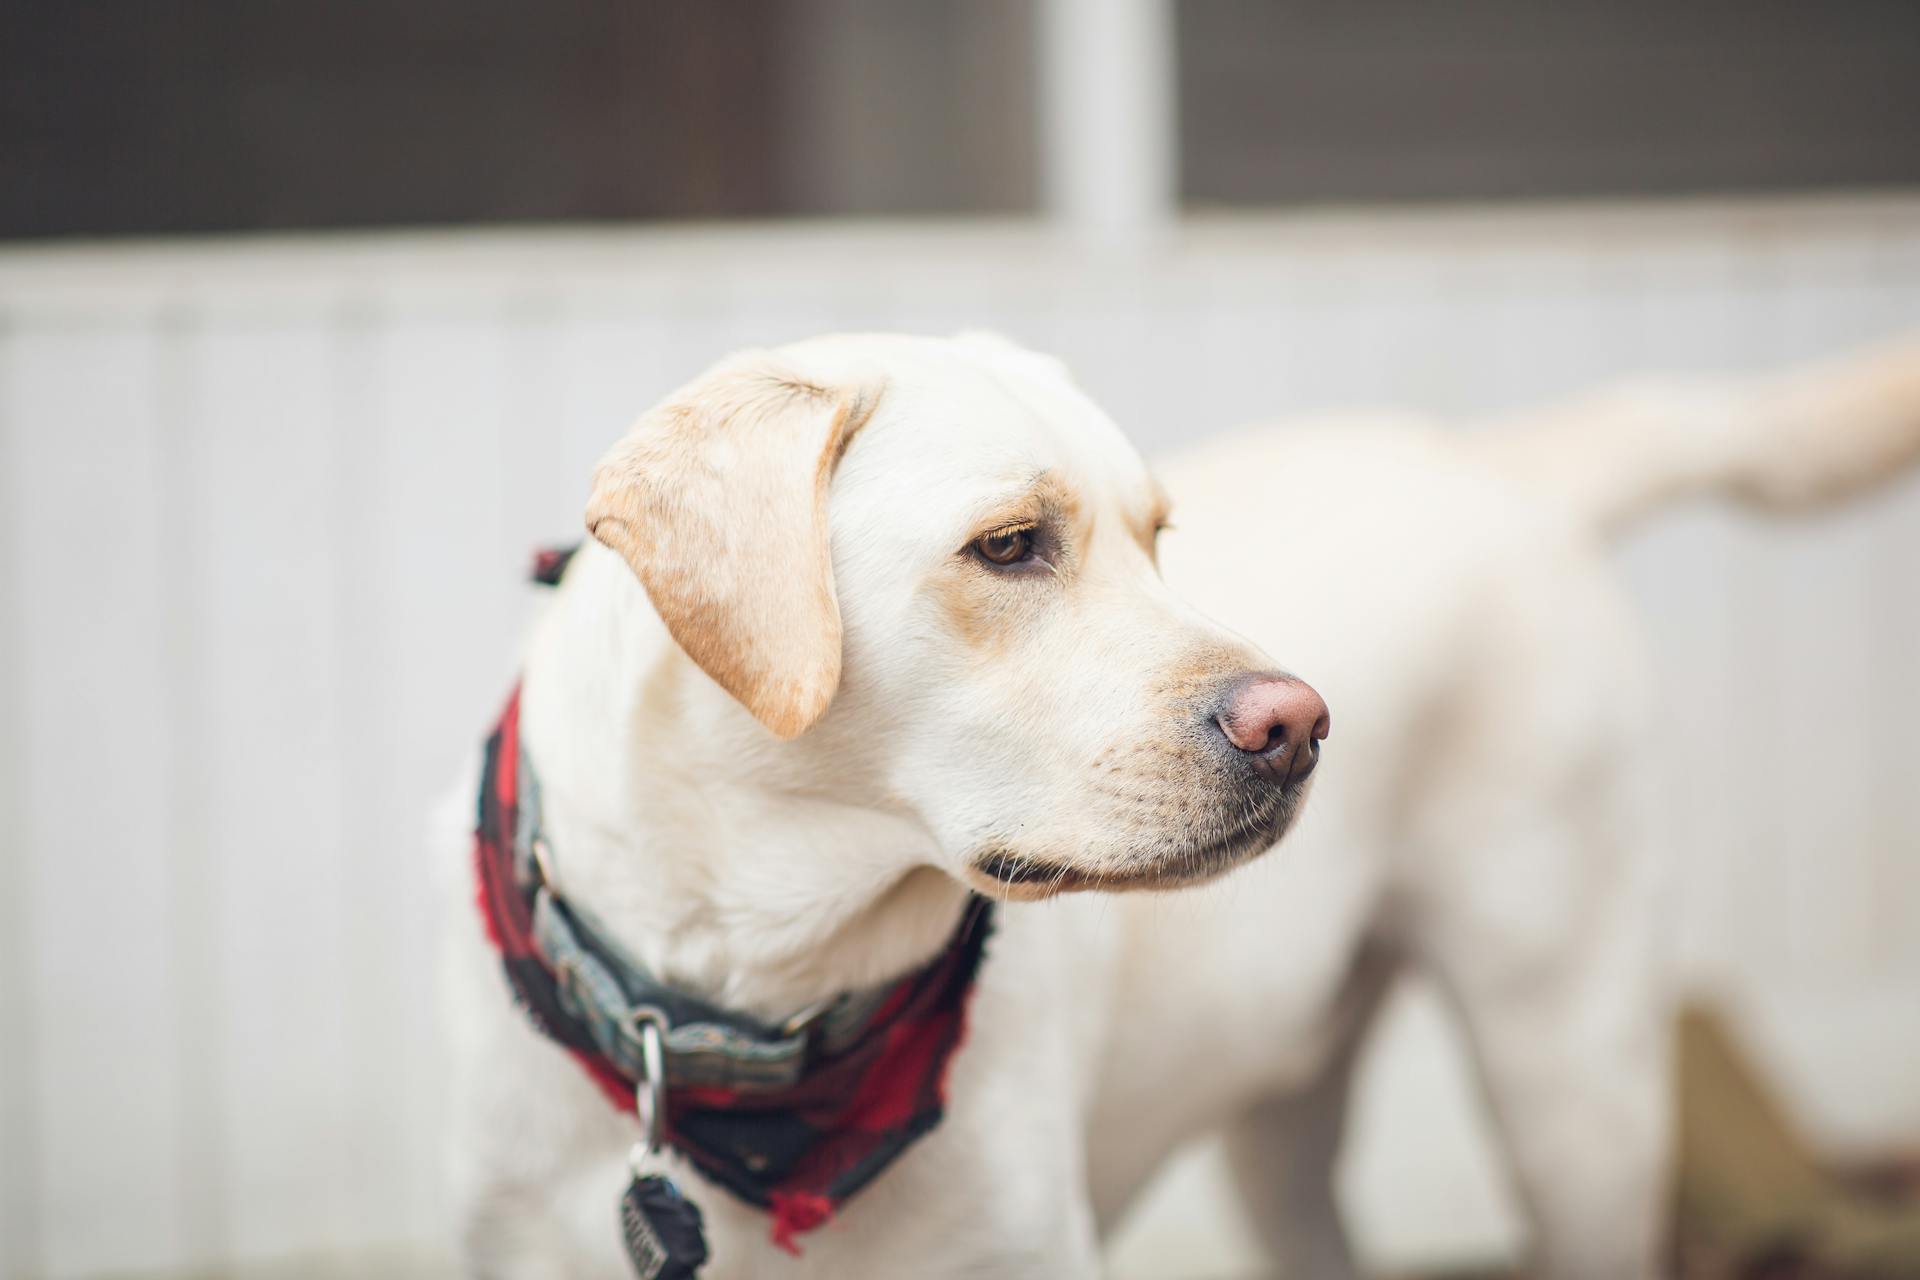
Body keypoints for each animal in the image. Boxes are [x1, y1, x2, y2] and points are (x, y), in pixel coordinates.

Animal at [449, 333, 1920, 1280]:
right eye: (1008, 546)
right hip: (1287, 1106)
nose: (1300, 727)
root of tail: (1496, 461)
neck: (751, 1020)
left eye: (1159, 539)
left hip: (1572, 1077)